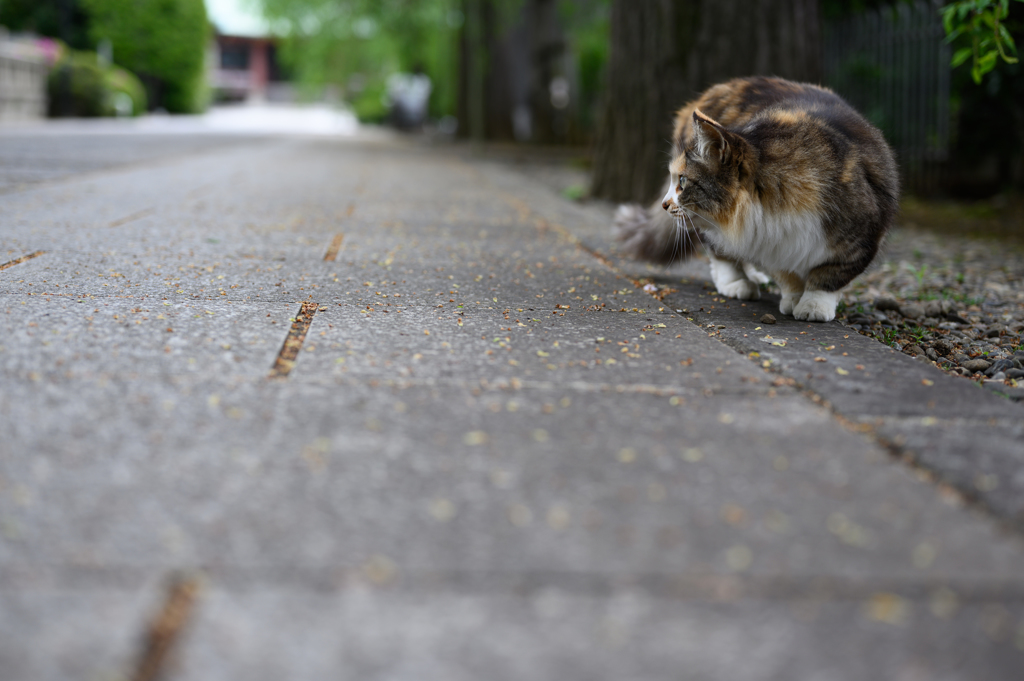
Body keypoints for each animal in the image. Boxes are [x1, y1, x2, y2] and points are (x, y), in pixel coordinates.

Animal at [614, 75, 897, 319]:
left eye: (682, 182)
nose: (664, 204)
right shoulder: (770, 240)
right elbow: (787, 274)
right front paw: (795, 298)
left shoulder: (862, 238)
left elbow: (829, 276)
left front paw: (814, 304)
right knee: (719, 250)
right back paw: (739, 282)